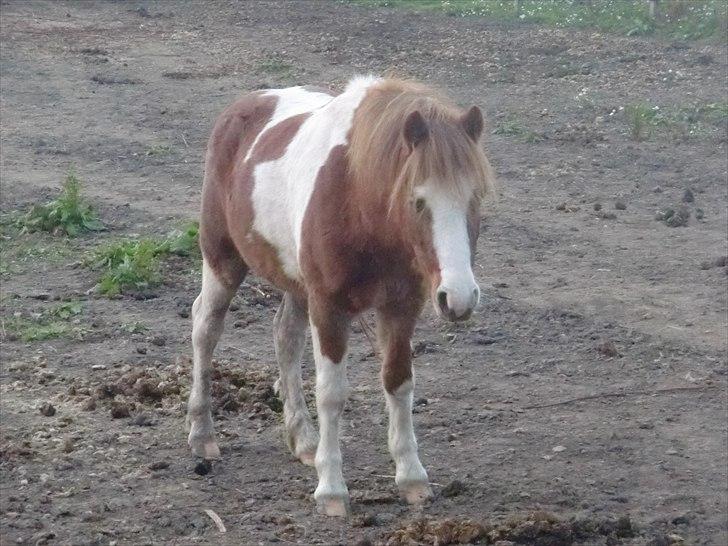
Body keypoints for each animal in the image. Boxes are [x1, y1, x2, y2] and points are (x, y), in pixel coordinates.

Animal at [186, 76, 494, 516]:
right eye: (417, 200)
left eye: (475, 197)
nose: (460, 297)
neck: (360, 202)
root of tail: (245, 105)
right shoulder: (329, 307)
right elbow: (331, 394)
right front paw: (331, 489)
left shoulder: (401, 306)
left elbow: (399, 382)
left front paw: (412, 478)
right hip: (222, 260)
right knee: (205, 328)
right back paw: (202, 434)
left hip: (296, 284)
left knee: (285, 337)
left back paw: (304, 440)